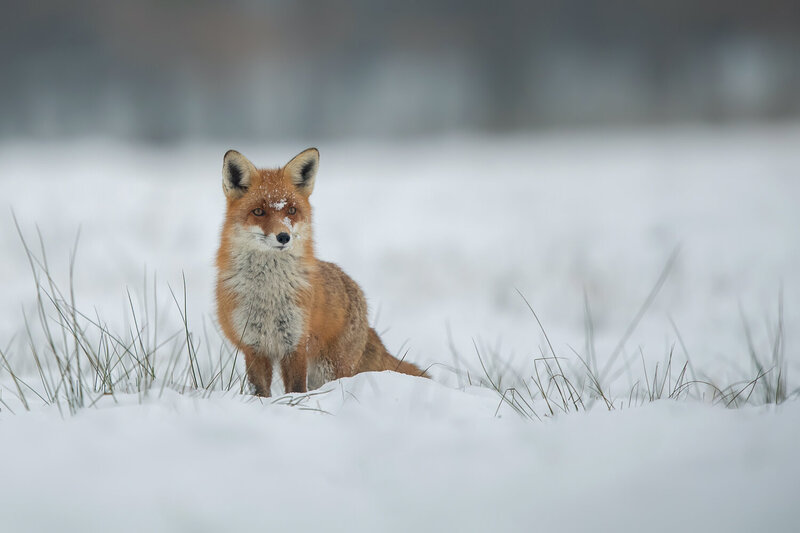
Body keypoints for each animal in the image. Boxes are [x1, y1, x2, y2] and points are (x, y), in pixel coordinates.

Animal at [216, 148, 425, 396]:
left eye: (291, 210)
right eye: (258, 211)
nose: (283, 236)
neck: (269, 294)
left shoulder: (296, 342)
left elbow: (296, 389)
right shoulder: (253, 345)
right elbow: (260, 391)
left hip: (330, 369)